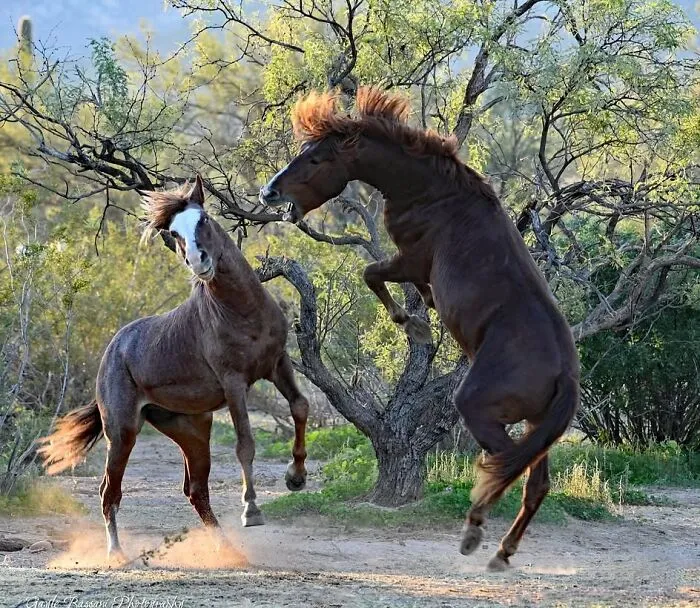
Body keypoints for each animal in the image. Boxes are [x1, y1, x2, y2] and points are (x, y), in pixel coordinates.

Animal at [39, 176, 310, 563]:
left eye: (204, 220)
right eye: (174, 233)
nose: (199, 261)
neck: (243, 312)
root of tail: (113, 349)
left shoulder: (277, 363)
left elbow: (300, 407)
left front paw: (296, 477)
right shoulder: (234, 382)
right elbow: (245, 443)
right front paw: (252, 511)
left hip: (192, 429)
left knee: (195, 490)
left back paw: (228, 551)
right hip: (122, 432)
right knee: (109, 490)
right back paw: (117, 553)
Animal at [259, 88, 580, 571]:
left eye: (315, 159)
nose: (269, 192)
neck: (436, 195)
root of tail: (564, 374)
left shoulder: (409, 259)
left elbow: (373, 275)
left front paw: (415, 326)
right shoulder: (412, 265)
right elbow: (401, 286)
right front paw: (422, 312)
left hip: (482, 412)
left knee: (505, 469)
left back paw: (473, 532)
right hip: (536, 427)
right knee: (534, 483)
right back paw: (501, 553)